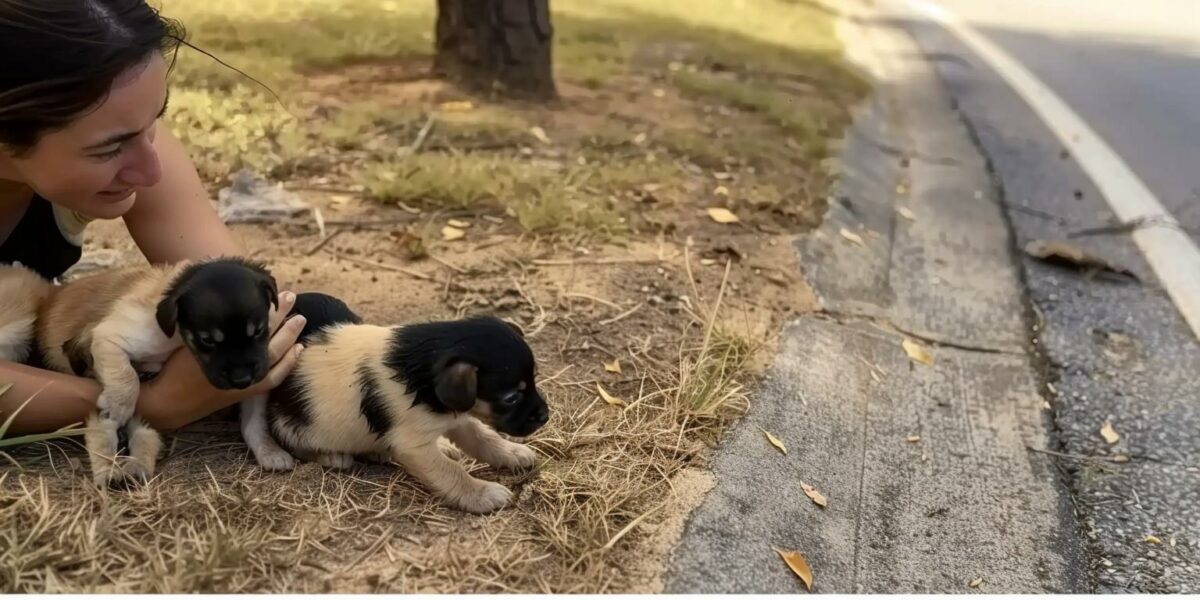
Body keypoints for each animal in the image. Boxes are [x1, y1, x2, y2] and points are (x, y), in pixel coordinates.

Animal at [243, 292, 552, 513]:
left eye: (535, 379)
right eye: (511, 397)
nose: (545, 416)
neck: (419, 370)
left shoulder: (455, 417)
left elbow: (484, 438)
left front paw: (513, 453)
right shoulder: (414, 445)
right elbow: (452, 472)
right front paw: (484, 493)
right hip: (292, 422)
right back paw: (332, 456)